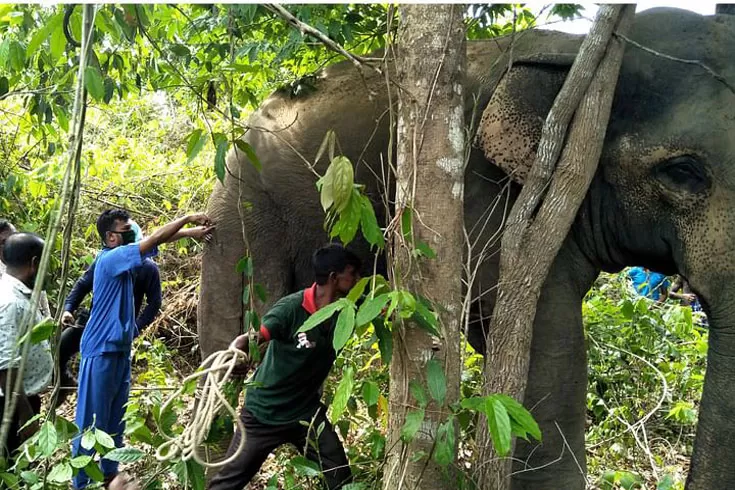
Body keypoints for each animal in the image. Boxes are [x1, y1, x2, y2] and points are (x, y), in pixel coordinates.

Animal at [198, 7, 735, 490]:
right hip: (245, 211)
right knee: (237, 339)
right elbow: (545, 340)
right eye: (683, 172)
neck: (582, 53)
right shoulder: (484, 195)